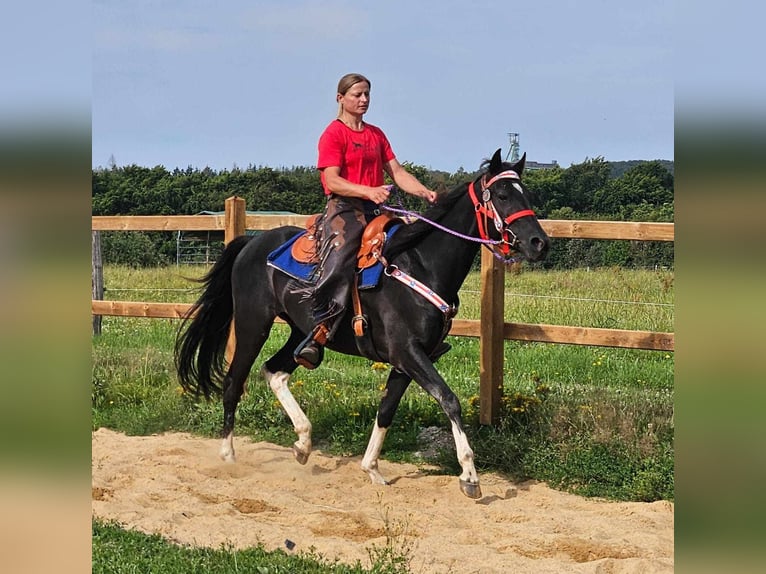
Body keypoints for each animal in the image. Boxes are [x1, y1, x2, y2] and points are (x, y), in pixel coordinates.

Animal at [177, 148, 552, 500]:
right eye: (502, 195)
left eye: (526, 194)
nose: (540, 243)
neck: (420, 265)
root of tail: (251, 243)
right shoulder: (408, 353)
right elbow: (449, 400)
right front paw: (470, 476)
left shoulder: (407, 361)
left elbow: (386, 410)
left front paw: (371, 468)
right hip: (253, 324)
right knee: (234, 381)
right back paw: (228, 454)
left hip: (301, 333)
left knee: (275, 371)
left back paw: (303, 444)